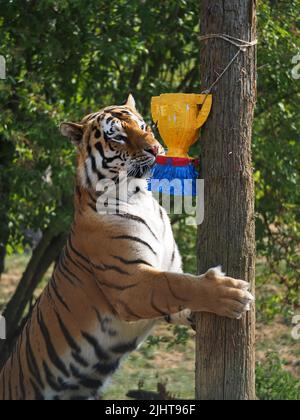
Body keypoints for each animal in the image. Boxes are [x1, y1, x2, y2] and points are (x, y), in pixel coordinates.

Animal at [0, 95, 254, 400]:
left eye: (143, 126)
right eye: (118, 136)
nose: (155, 148)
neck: (139, 195)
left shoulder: (163, 272)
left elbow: (180, 290)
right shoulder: (131, 283)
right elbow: (179, 285)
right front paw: (232, 294)